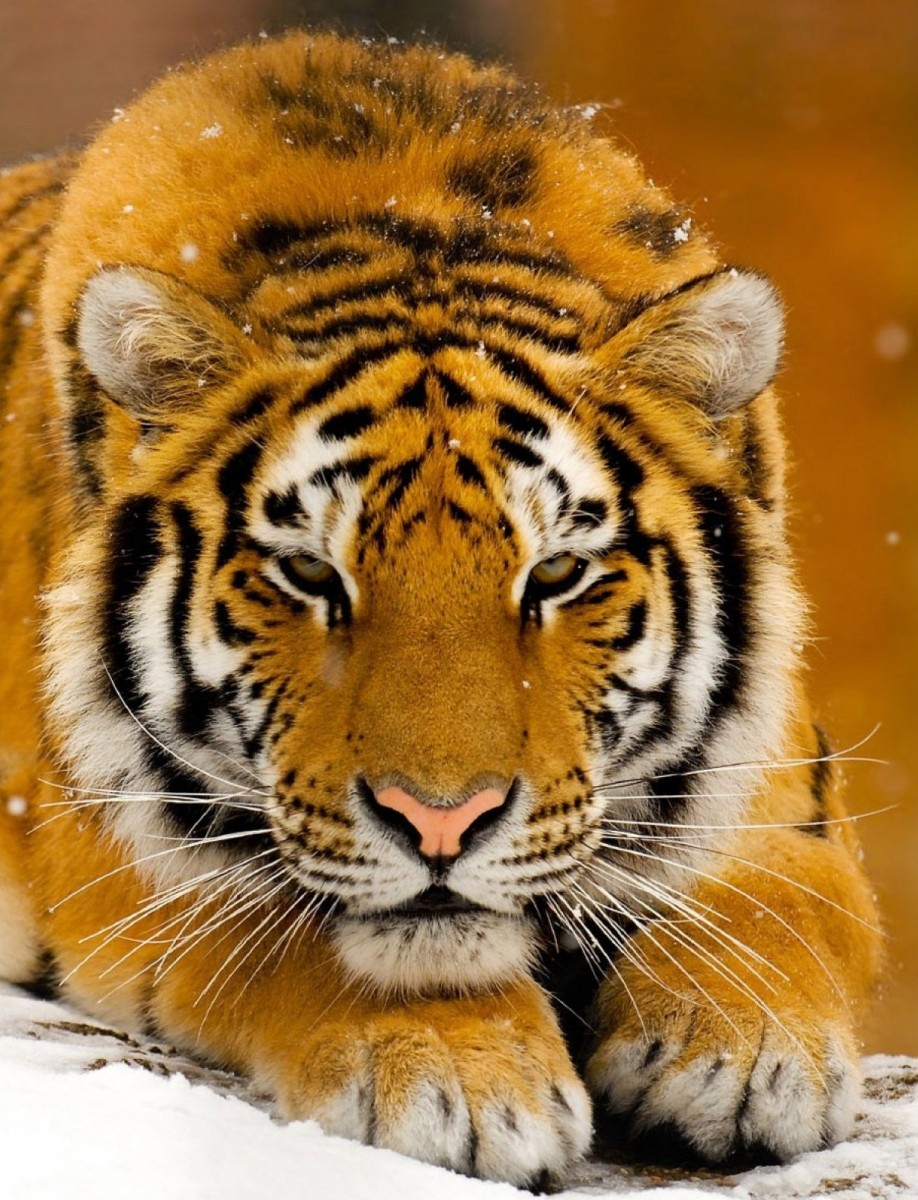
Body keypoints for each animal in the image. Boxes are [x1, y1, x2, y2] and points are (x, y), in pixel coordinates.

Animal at [0, 30, 881, 1185]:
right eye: (311, 576)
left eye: (555, 575)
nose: (441, 823)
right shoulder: (99, 826)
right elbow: (295, 921)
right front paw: (456, 1073)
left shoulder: (781, 771)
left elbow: (783, 891)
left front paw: (743, 1050)